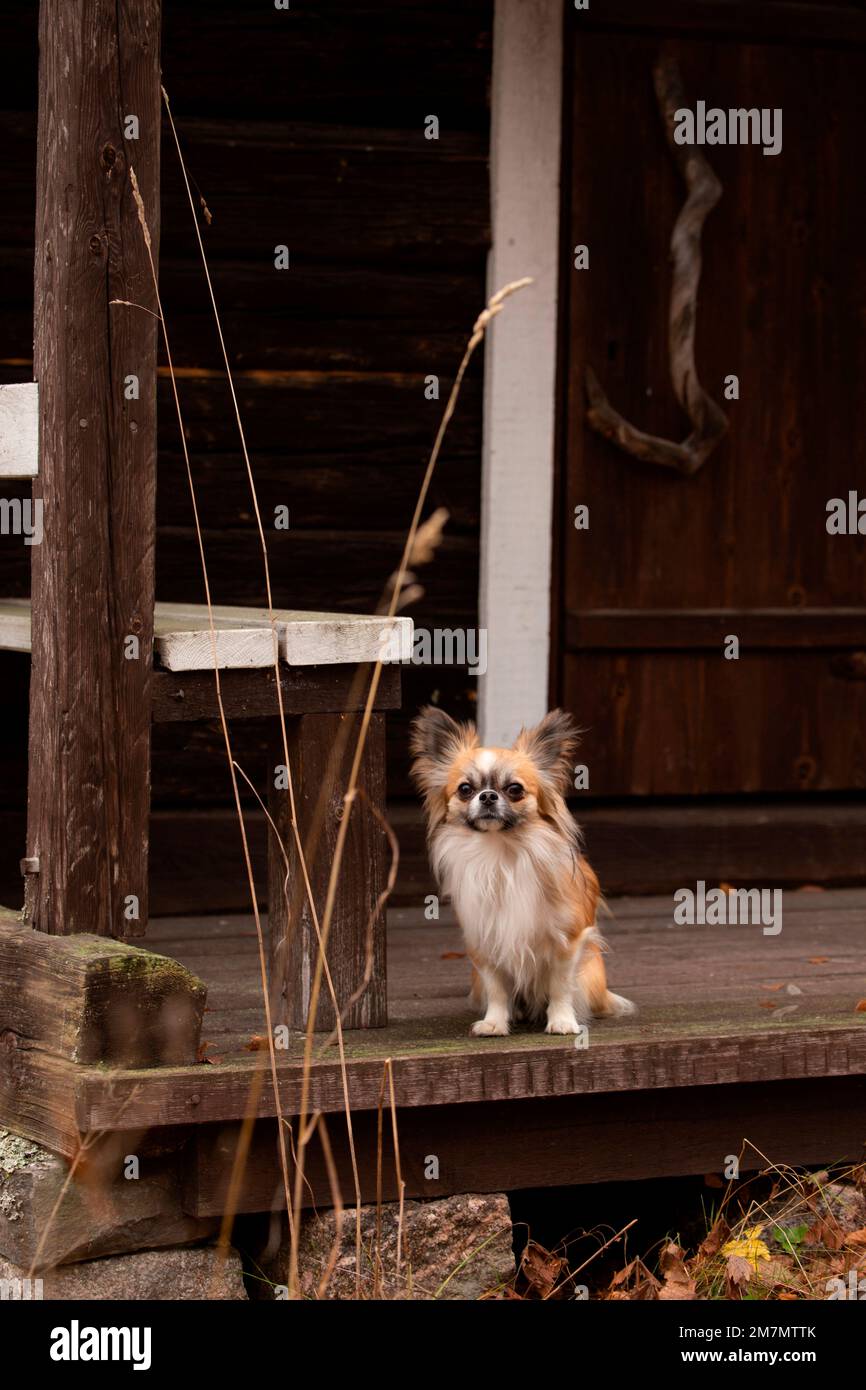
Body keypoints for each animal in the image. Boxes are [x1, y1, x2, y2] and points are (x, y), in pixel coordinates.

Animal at [408, 711, 633, 1039]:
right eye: (465, 789)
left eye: (514, 789)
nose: (488, 796)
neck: (501, 853)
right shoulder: (485, 944)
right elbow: (497, 988)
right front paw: (494, 1022)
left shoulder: (568, 941)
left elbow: (560, 986)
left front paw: (562, 1021)